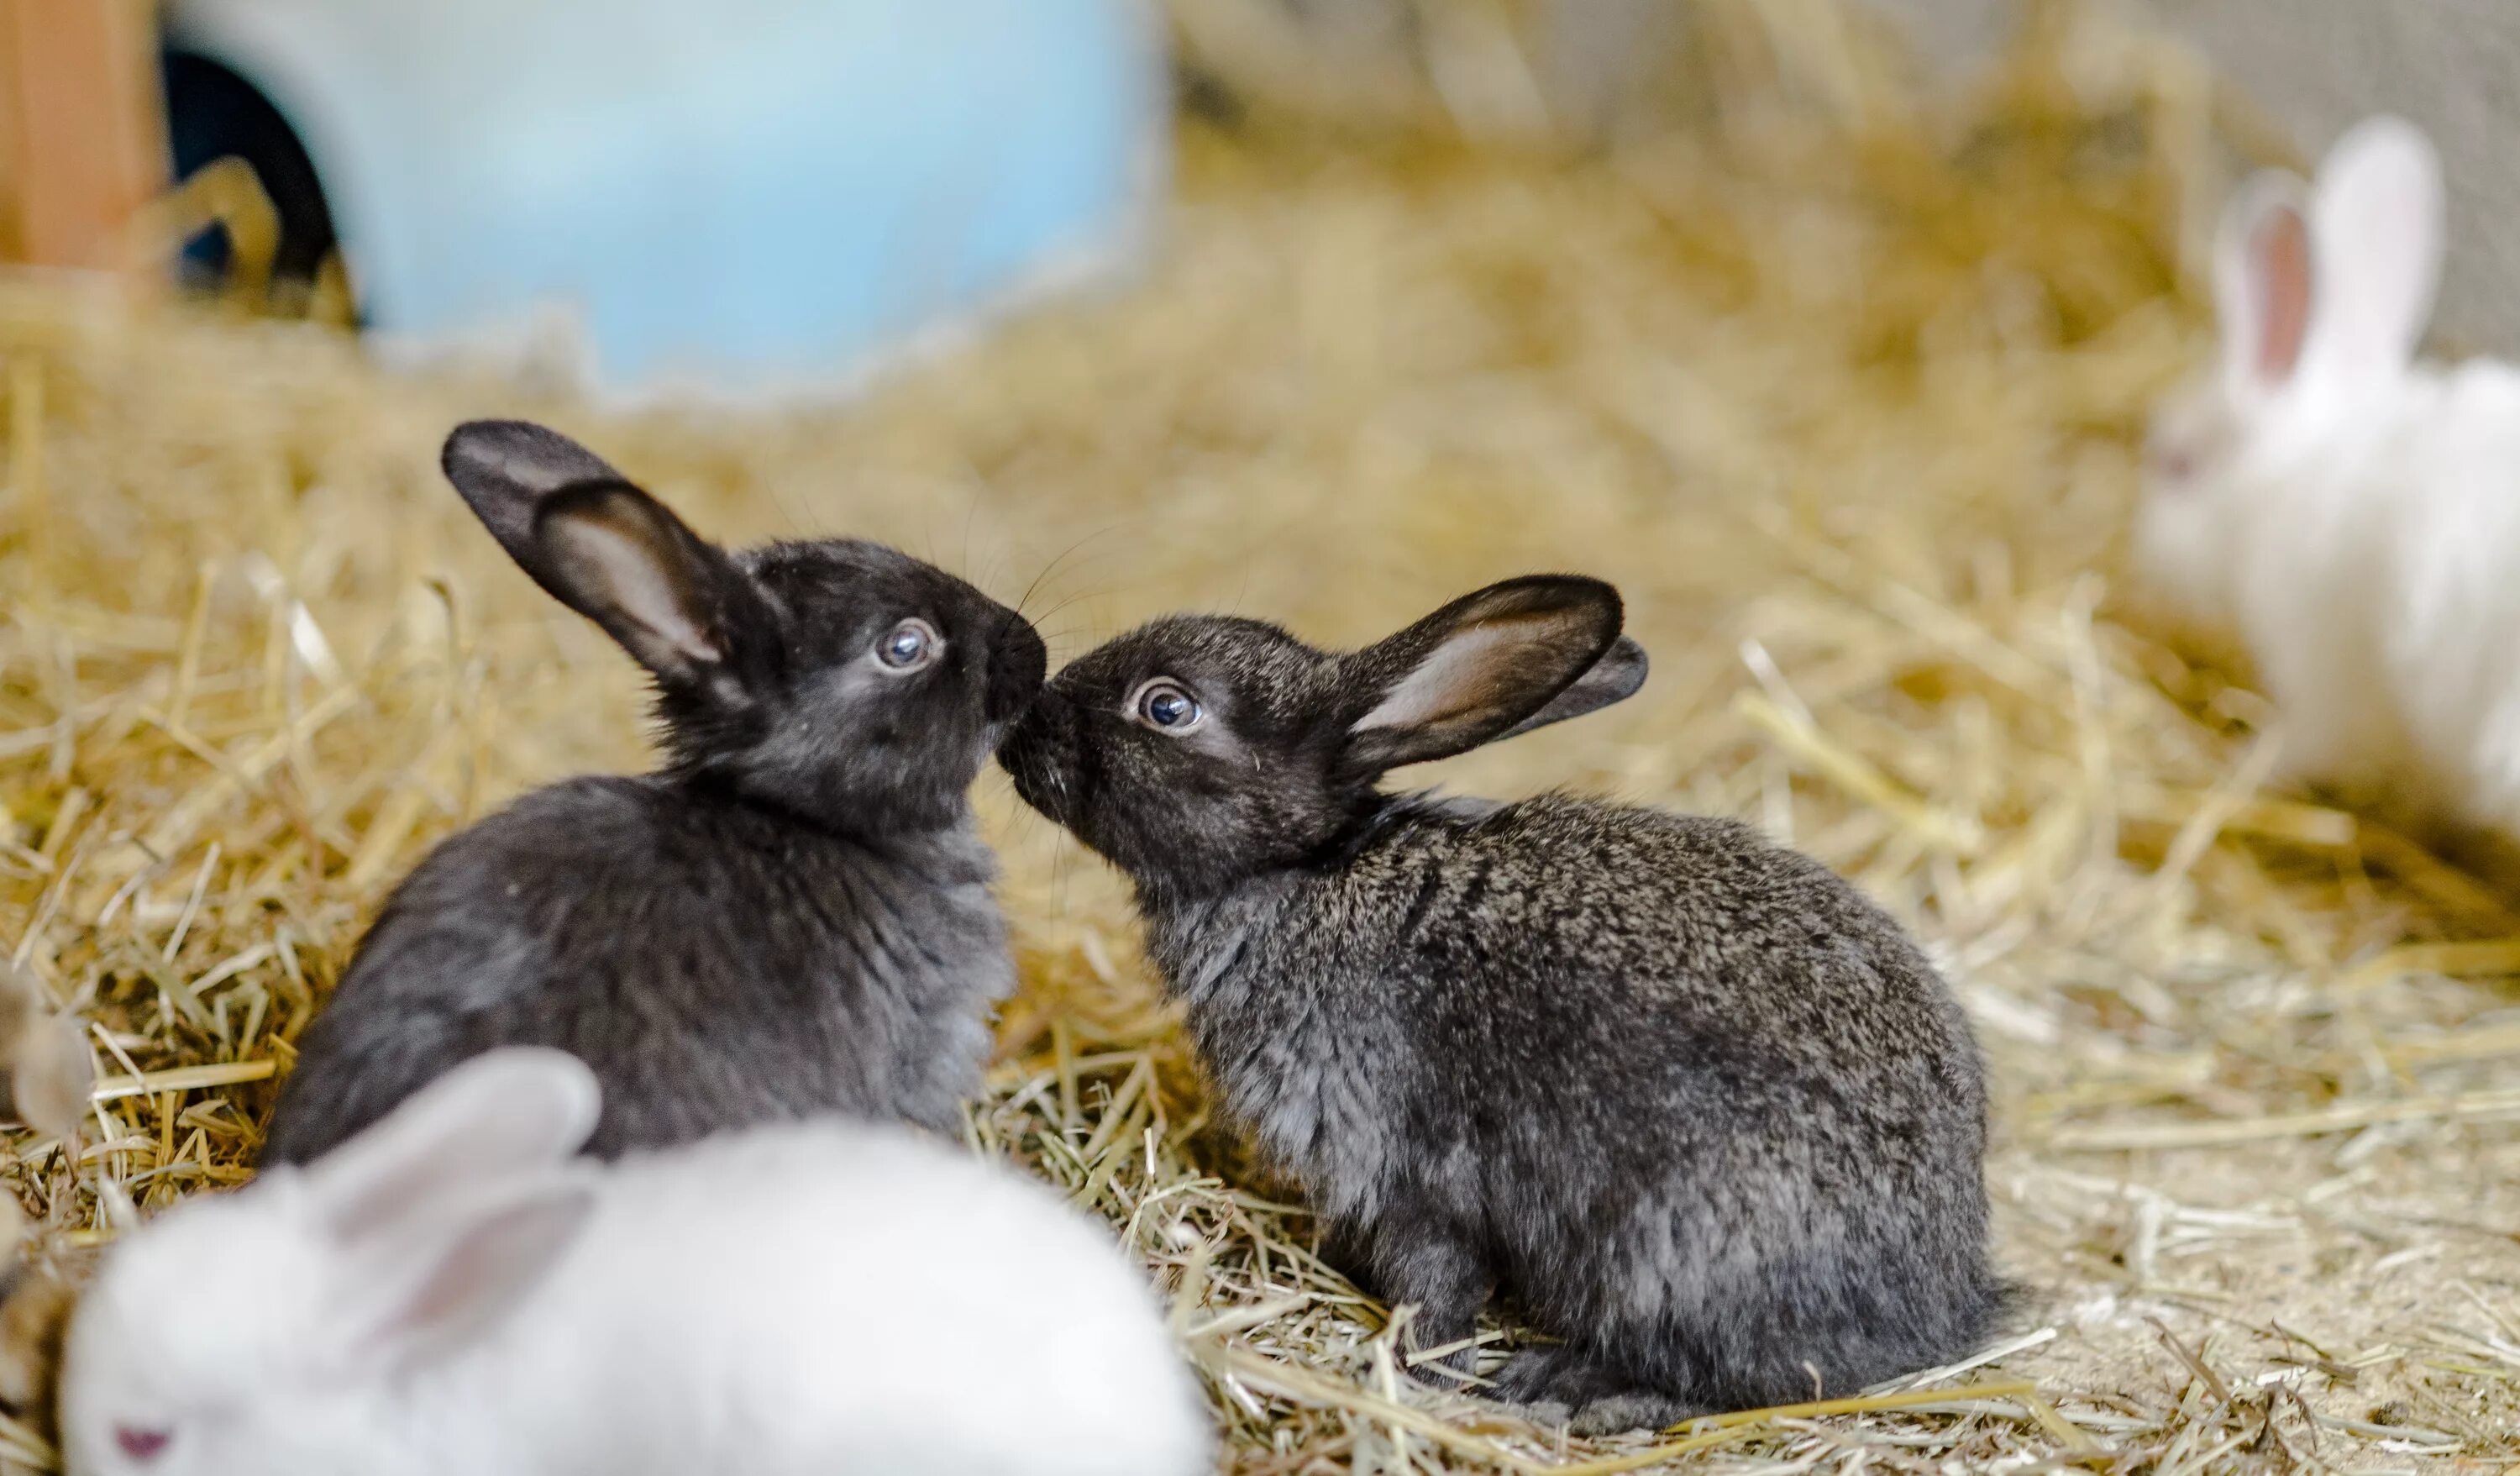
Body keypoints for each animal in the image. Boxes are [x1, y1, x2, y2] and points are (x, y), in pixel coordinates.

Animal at [993, 571, 1996, 1421]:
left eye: (1167, 706)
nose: (1021, 723)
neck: (1301, 869)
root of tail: (1950, 1299)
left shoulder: (1397, 1167)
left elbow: (1435, 1286)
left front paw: (1418, 1373)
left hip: (1674, 1249)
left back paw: (1575, 1388)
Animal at [2137, 114, 2520, 826]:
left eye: (2177, 464)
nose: (2141, 564)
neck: (2297, 472)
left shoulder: (2319, 677)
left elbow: (2302, 744)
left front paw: (2238, 762)